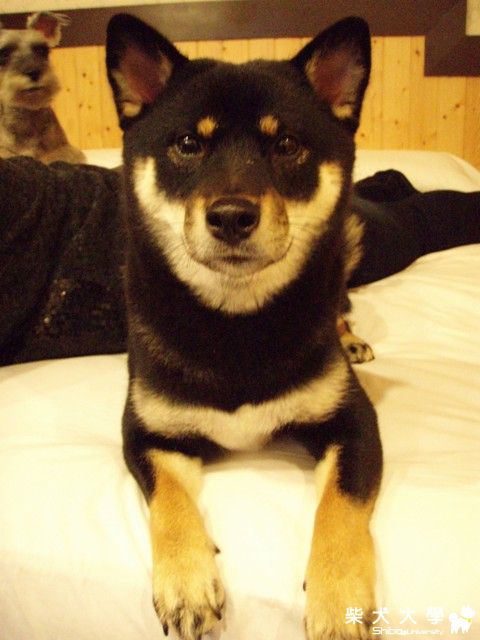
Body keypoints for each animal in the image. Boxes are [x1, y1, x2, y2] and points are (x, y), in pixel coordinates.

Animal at [106, 13, 382, 640]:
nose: (232, 216)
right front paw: (185, 582)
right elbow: (168, 504)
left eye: (286, 145)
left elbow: (341, 508)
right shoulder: (147, 432)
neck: (235, 325)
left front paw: (338, 598)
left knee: (339, 300)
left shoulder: (355, 423)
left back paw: (350, 338)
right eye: (188, 143)